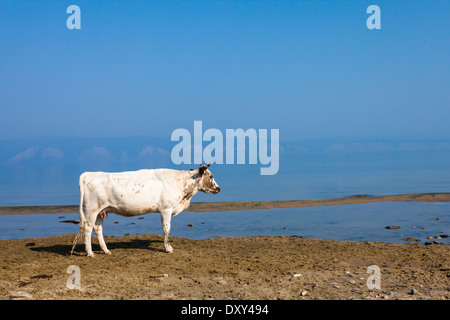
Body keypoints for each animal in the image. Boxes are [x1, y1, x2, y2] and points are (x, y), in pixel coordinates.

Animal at [71, 164, 221, 256]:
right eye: (211, 176)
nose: (218, 188)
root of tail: (89, 174)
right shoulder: (166, 209)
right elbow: (166, 229)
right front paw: (168, 248)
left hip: (101, 211)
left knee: (98, 229)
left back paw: (106, 250)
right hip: (92, 209)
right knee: (88, 228)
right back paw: (90, 253)